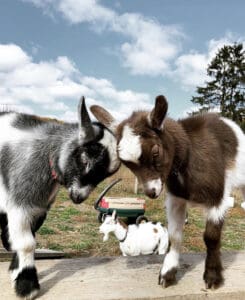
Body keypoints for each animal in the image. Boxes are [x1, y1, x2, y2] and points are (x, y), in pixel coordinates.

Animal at [0, 97, 119, 298]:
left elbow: (30, 235)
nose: (79, 197)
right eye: (85, 159)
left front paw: (15, 273)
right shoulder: (20, 203)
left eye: (106, 175)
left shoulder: (40, 207)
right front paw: (27, 286)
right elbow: (26, 243)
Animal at [91, 95, 245, 290]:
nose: (151, 192)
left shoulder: (217, 198)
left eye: (155, 151)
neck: (189, 157)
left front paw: (212, 277)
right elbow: (174, 235)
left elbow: (211, 237)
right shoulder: (176, 199)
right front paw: (168, 274)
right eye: (126, 163)